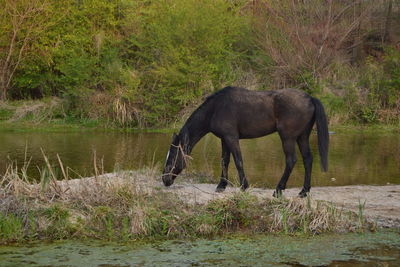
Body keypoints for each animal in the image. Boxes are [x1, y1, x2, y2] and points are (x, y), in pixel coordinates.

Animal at [162, 87, 328, 198]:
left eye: (173, 155)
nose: (165, 179)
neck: (216, 108)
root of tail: (310, 98)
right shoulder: (224, 139)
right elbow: (225, 161)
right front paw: (221, 186)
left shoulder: (231, 137)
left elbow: (238, 161)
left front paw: (243, 186)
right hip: (302, 137)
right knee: (308, 159)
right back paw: (304, 191)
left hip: (288, 138)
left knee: (291, 160)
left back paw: (278, 190)